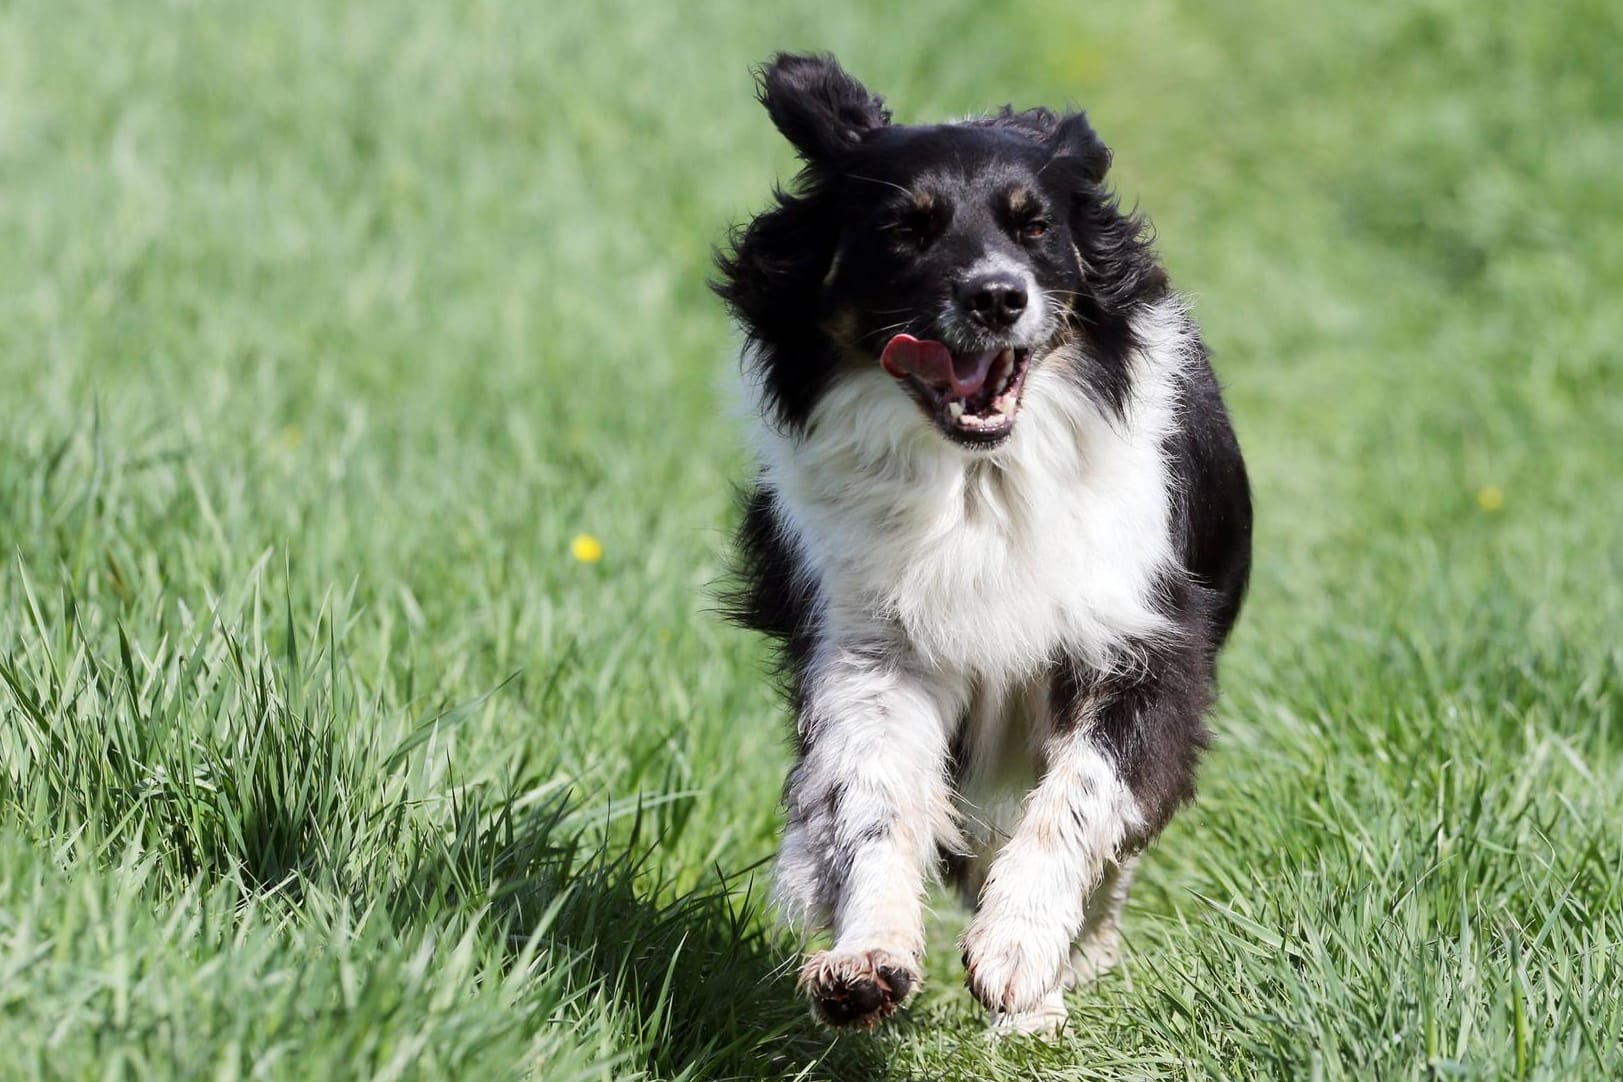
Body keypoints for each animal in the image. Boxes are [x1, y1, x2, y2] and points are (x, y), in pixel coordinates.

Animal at [714, 55, 1252, 1038]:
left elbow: (1082, 799)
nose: (997, 296)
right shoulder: (870, 644)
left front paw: (1018, 951)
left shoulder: (1141, 638)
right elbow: (873, 799)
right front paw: (865, 957)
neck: (977, 478)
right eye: (905, 228)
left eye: (1033, 224)